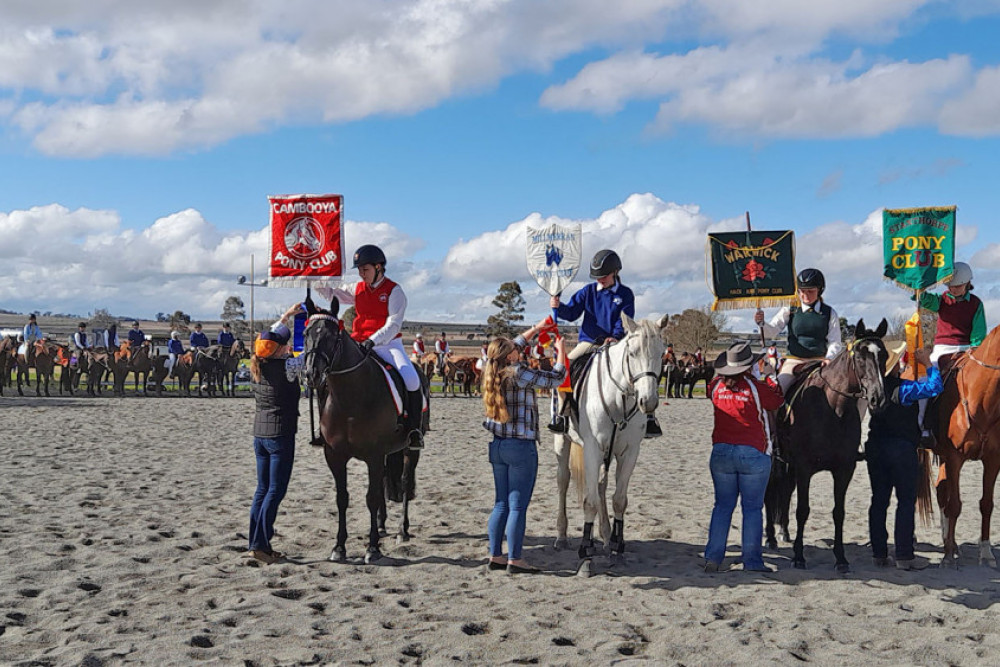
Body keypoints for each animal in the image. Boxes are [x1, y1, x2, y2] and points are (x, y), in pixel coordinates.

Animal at [304, 298, 430, 564]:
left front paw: (372, 549)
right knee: (383, 480)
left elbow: (371, 498)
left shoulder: (373, 455)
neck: (351, 397)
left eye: (332, 336)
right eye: (305, 333)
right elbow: (342, 498)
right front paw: (339, 547)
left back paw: (402, 531)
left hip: (410, 449)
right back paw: (381, 526)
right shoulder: (335, 456)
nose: (311, 374)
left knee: (404, 482)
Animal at [552, 316, 668, 576]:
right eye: (632, 353)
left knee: (601, 486)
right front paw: (586, 556)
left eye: (661, 353)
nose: (649, 402)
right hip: (563, 443)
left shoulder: (629, 452)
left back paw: (605, 538)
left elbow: (619, 500)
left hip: (608, 454)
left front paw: (617, 549)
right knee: (563, 481)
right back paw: (562, 536)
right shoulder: (593, 449)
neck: (619, 398)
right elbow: (590, 502)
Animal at [776, 320, 888, 572]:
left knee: (786, 490)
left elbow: (839, 512)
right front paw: (799, 556)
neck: (832, 408)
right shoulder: (804, 468)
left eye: (884, 356)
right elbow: (803, 510)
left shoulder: (844, 469)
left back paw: (784, 530)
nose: (877, 398)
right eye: (860, 357)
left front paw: (841, 558)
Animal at [928, 326, 1000, 568]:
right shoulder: (954, 458)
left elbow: (986, 504)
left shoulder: (993, 460)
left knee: (941, 490)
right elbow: (955, 505)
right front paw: (949, 556)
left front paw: (986, 553)